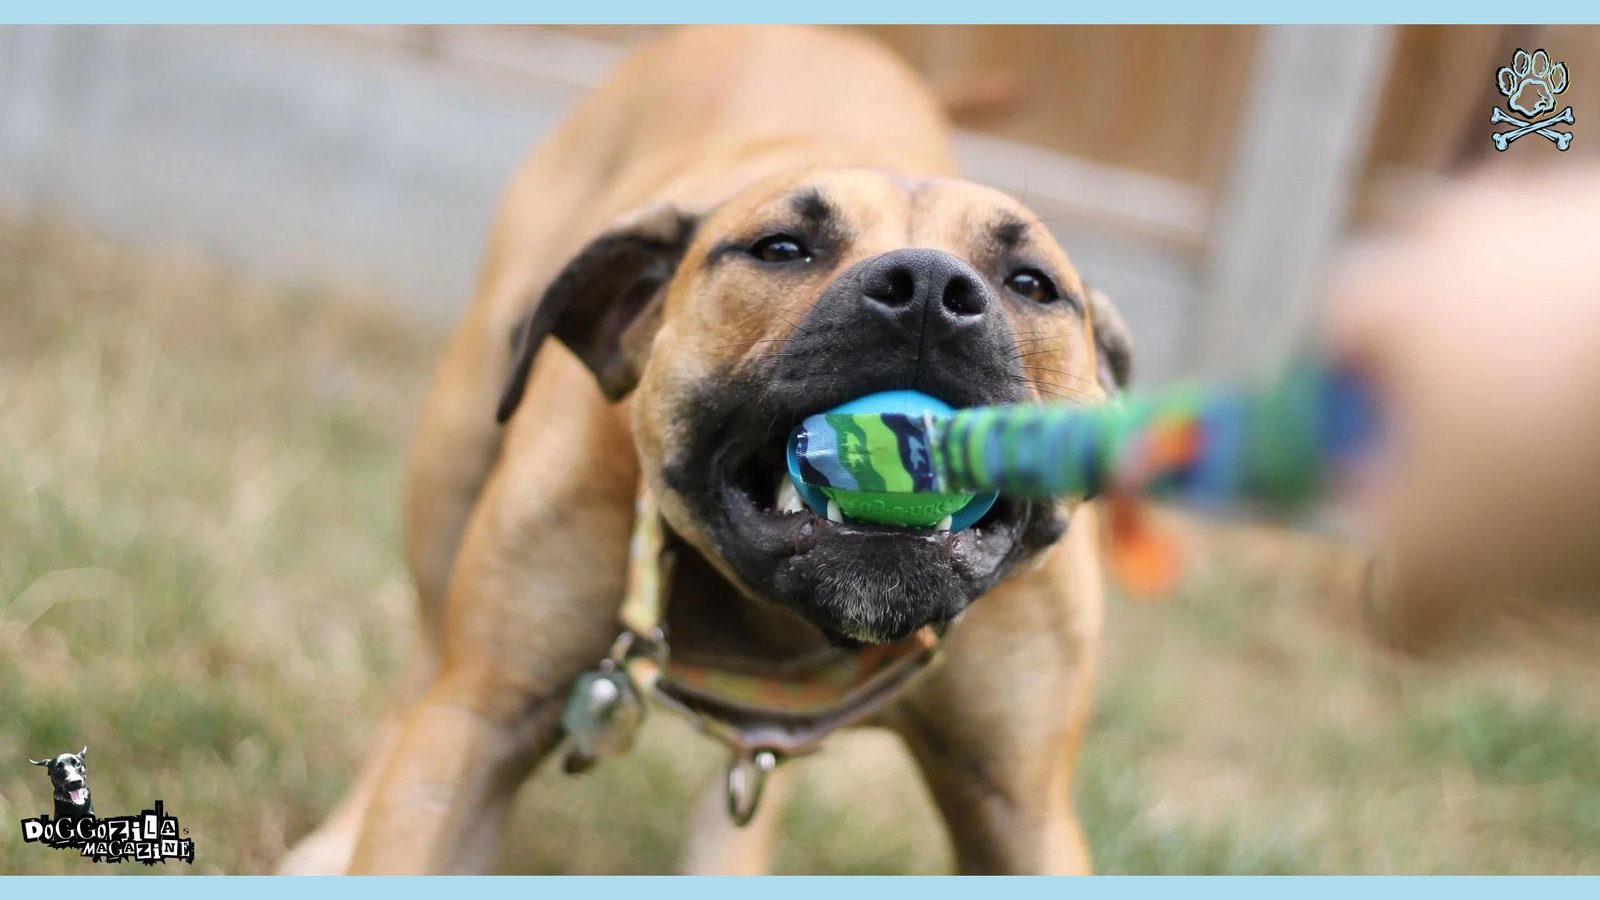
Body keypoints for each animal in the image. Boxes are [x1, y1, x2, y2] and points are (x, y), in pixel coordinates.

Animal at [278, 24, 1126, 871]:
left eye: (1032, 284)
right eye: (780, 249)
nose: (927, 292)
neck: (781, 623)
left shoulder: (1021, 810)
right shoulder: (481, 720)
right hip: (452, 465)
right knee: (420, 667)